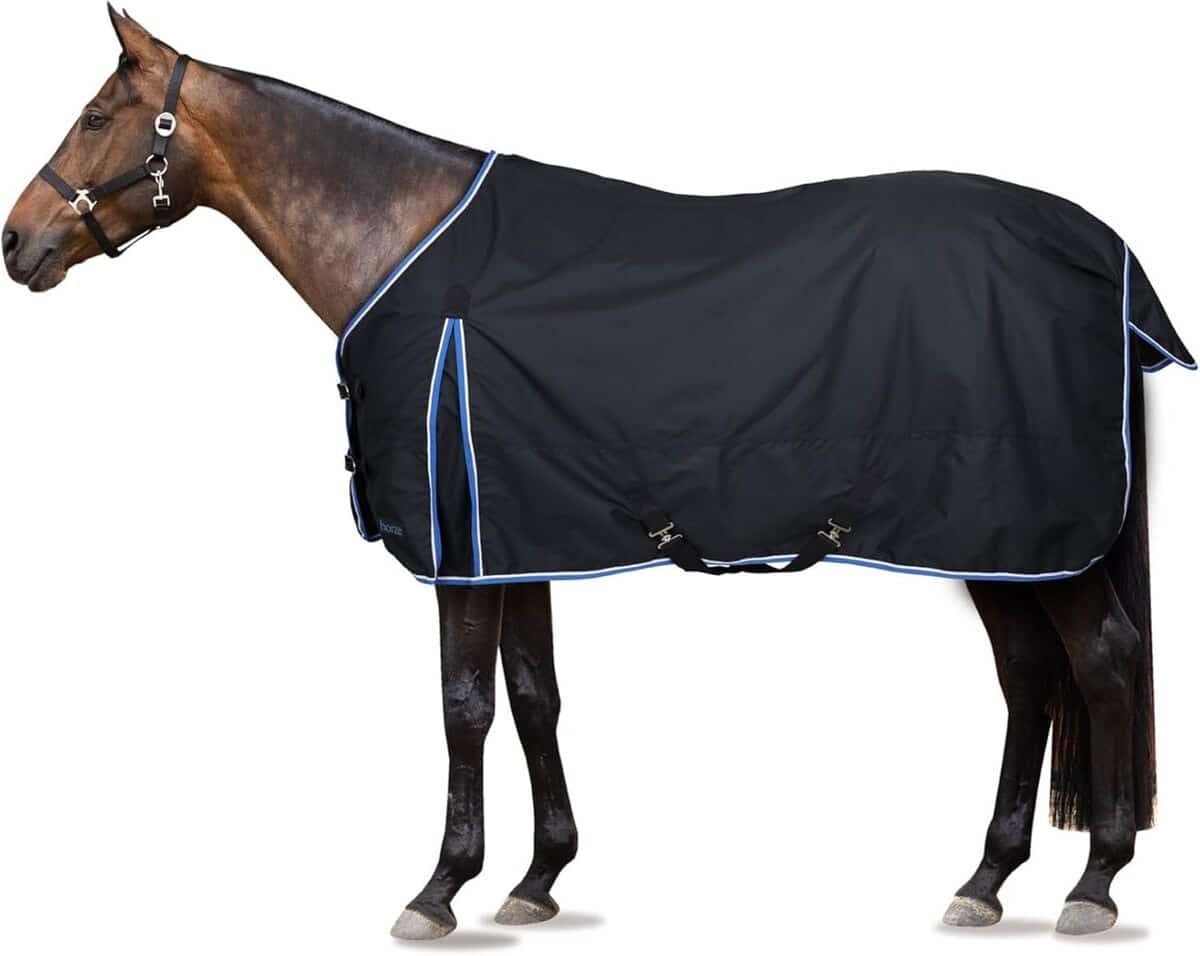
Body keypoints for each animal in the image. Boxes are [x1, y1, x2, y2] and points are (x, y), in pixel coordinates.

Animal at [2, 7, 1184, 940]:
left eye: (98, 117)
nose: (18, 243)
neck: (408, 248)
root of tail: (1107, 256)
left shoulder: (463, 549)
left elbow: (464, 705)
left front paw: (439, 888)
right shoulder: (515, 539)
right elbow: (535, 695)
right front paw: (537, 877)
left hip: (1037, 534)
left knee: (1104, 661)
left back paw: (1094, 882)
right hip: (1001, 540)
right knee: (1029, 676)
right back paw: (986, 878)